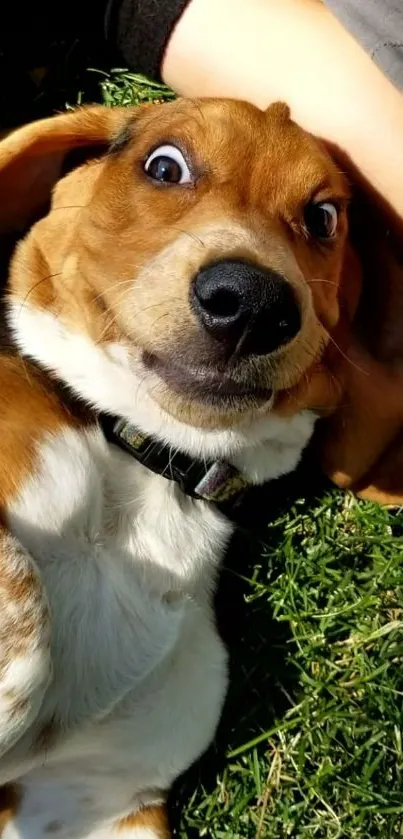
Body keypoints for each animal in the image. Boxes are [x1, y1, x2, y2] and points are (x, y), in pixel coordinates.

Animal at [0, 97, 364, 832]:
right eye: (165, 166)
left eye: (324, 217)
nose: (253, 303)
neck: (144, 465)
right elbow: (25, 603)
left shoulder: (97, 800)